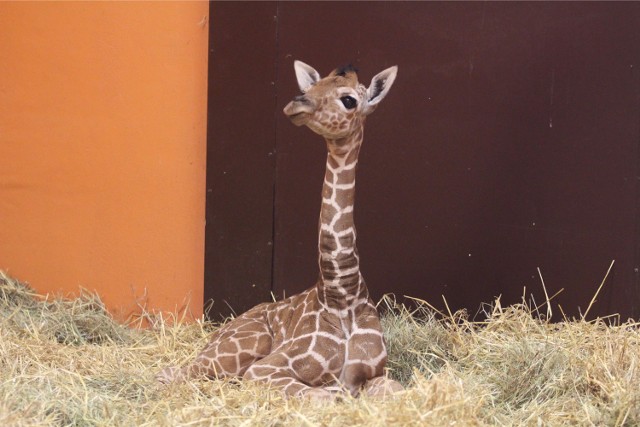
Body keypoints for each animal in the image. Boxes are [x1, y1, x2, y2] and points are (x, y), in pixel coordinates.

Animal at [159, 60, 400, 402]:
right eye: (311, 87)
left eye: (349, 99)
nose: (296, 104)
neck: (343, 295)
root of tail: (216, 333)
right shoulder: (266, 369)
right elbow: (326, 395)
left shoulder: (376, 374)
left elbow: (390, 389)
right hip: (235, 351)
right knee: (172, 374)